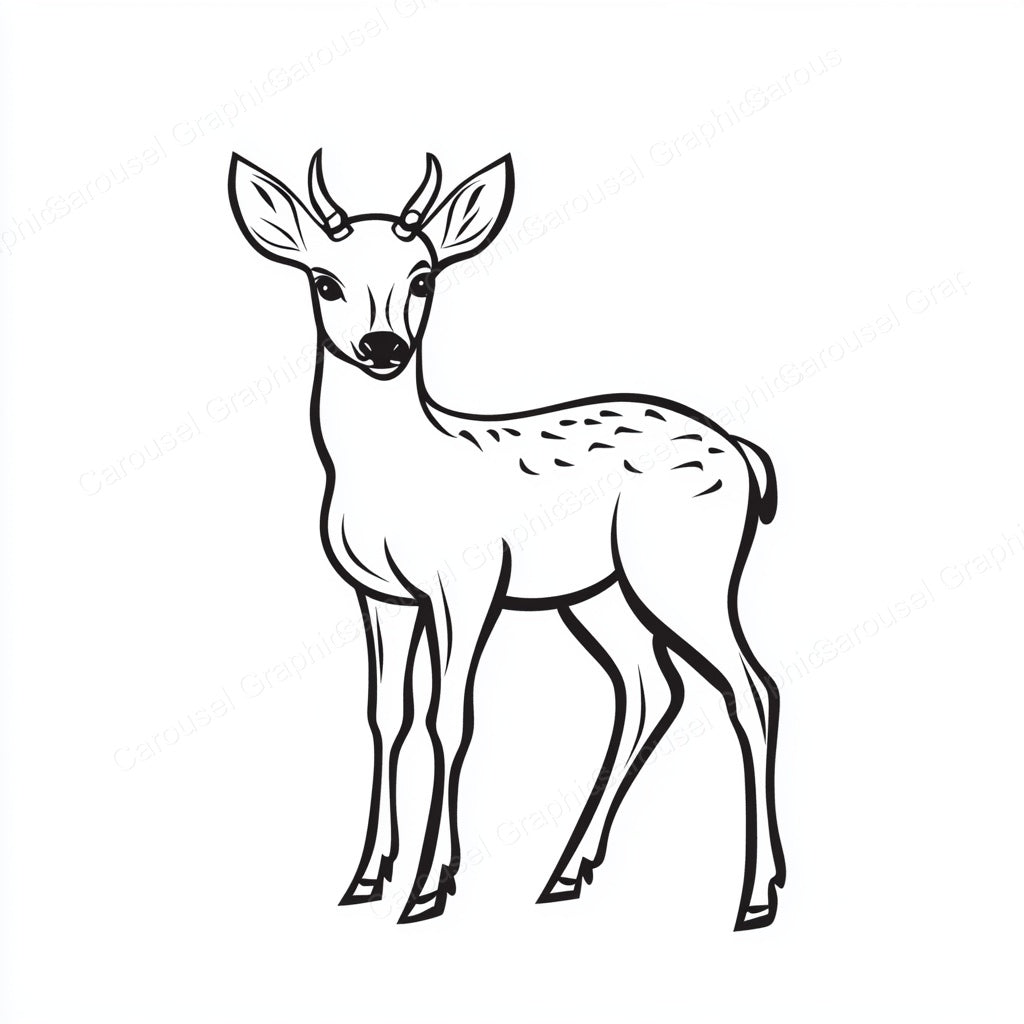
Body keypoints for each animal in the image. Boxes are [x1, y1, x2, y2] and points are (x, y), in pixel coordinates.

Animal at [227, 149, 786, 930]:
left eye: (424, 276)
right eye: (325, 280)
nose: (383, 346)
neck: (393, 471)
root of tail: (744, 454)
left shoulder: (469, 580)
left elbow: (448, 717)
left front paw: (429, 888)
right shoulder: (380, 595)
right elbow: (387, 715)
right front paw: (367, 877)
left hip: (682, 571)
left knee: (751, 688)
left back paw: (755, 896)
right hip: (600, 594)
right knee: (651, 690)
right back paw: (566, 873)